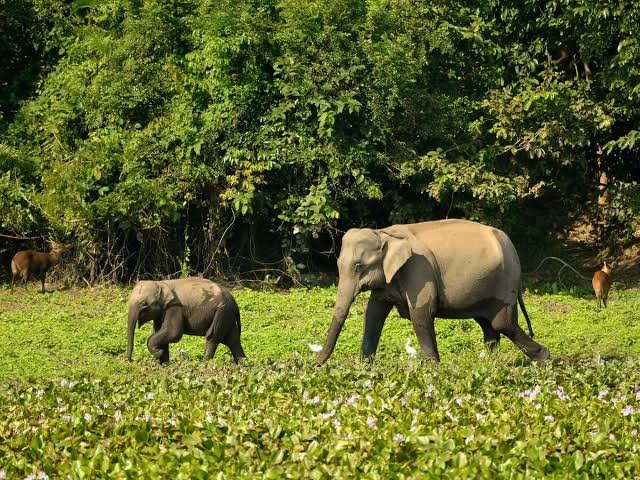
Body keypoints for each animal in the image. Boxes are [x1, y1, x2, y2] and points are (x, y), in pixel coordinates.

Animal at [316, 219, 550, 365]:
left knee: (502, 323)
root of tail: (512, 246)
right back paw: (487, 362)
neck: (385, 233)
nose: (316, 366)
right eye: (338, 264)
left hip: (504, 282)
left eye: (358, 266)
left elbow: (420, 314)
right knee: (488, 324)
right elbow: (373, 313)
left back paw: (544, 359)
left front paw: (432, 369)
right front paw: (366, 367)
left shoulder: (419, 270)